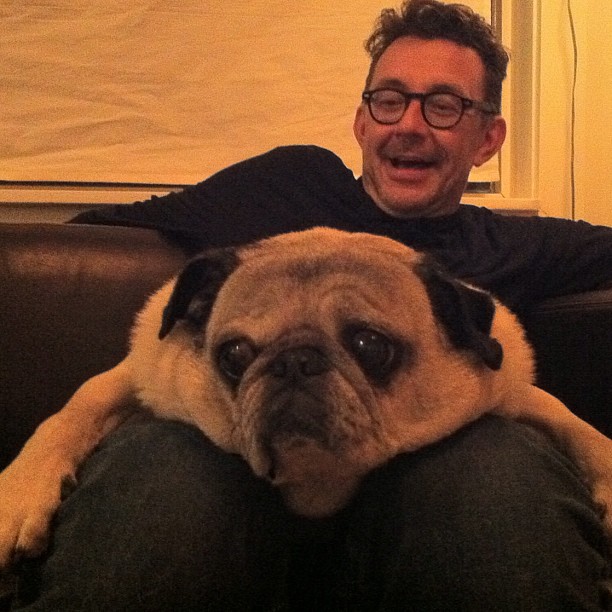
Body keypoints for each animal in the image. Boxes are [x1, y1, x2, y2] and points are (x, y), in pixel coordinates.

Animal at [1, 226, 612, 568]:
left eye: (369, 345)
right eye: (235, 354)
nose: (294, 362)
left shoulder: (512, 390)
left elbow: (573, 422)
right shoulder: (137, 377)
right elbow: (72, 412)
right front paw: (19, 496)